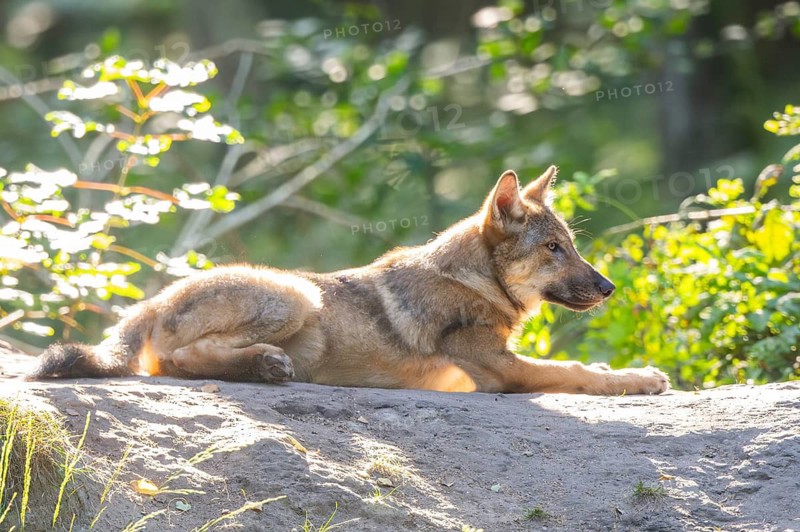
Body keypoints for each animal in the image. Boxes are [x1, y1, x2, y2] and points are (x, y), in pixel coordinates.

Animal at [28, 167, 669, 394]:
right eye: (554, 249)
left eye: (573, 245)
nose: (610, 289)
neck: (475, 280)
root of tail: (153, 298)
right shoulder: (500, 370)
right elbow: (579, 372)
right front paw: (641, 378)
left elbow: (585, 364)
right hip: (298, 294)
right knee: (175, 360)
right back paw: (267, 366)